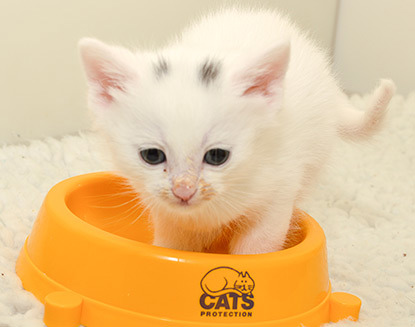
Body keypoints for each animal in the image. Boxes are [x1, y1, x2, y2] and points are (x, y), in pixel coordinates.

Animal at [79, 7, 396, 254]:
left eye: (217, 156)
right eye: (152, 156)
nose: (184, 191)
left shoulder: (279, 188)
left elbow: (259, 247)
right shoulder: (165, 210)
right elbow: (174, 246)